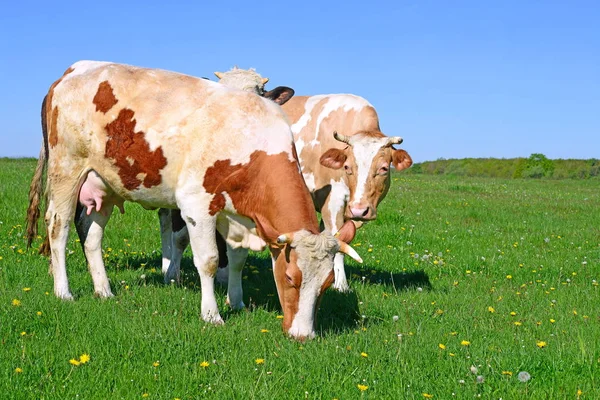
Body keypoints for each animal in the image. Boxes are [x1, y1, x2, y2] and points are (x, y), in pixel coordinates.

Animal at [24, 61, 360, 340]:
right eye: (290, 278)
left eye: (327, 283)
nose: (303, 335)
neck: (251, 140)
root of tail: (72, 70)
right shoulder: (197, 205)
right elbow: (209, 260)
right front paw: (212, 314)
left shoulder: (235, 214)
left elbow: (237, 259)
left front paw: (236, 302)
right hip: (67, 169)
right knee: (59, 227)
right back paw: (64, 291)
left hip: (104, 183)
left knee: (92, 235)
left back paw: (103, 290)